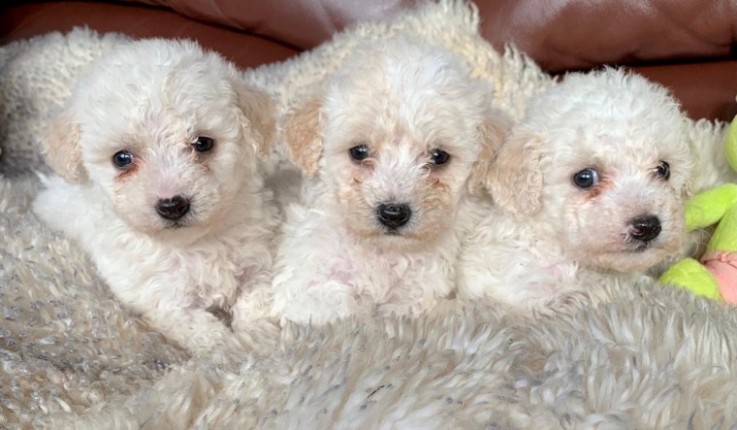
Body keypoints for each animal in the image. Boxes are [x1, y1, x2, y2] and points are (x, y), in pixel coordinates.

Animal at [31, 38, 278, 352]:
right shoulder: (160, 296)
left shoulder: (257, 259)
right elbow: (198, 328)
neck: (193, 243)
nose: (172, 205)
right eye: (122, 158)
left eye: (203, 143)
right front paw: (225, 348)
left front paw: (256, 337)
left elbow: (257, 298)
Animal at [272, 37, 512, 324]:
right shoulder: (301, 288)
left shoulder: (420, 293)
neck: (384, 251)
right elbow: (340, 304)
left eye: (439, 156)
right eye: (359, 152)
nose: (393, 214)